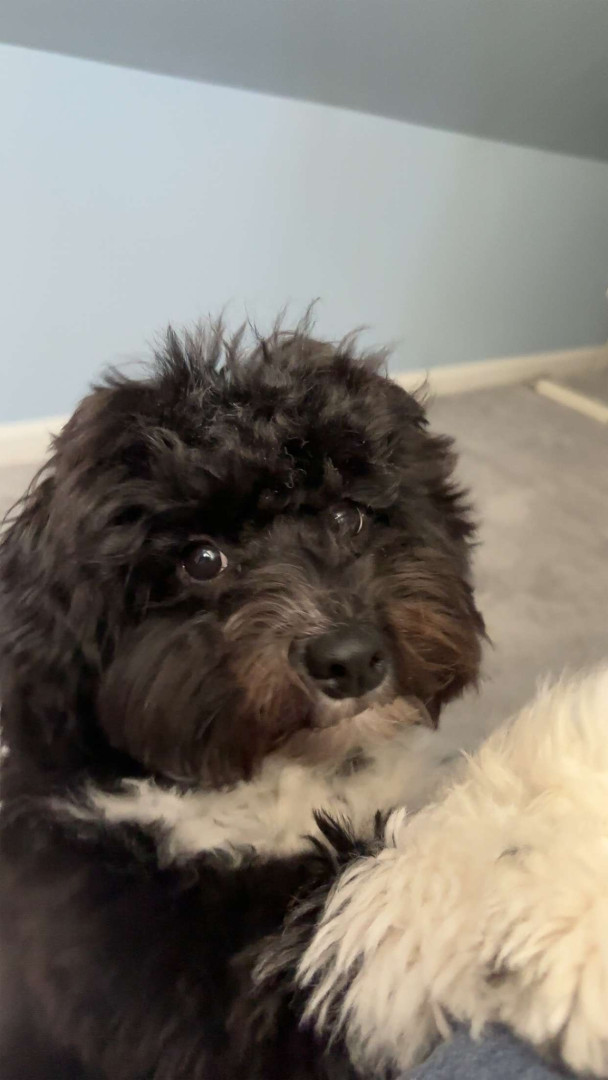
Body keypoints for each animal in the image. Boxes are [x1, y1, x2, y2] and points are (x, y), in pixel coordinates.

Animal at [0, 318, 484, 1079]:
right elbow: (362, 920)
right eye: (201, 559)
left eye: (346, 515)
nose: (351, 658)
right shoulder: (208, 1007)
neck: (279, 778)